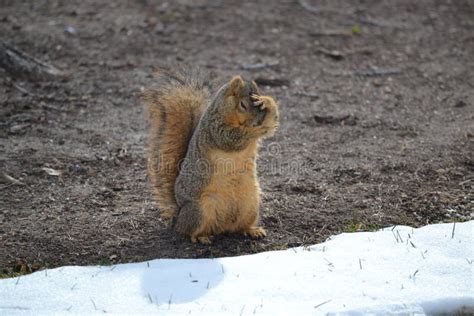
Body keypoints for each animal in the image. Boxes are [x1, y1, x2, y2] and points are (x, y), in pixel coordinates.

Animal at [143, 69, 280, 244]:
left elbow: (271, 123)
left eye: (261, 109)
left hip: (251, 205)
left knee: (240, 227)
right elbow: (230, 138)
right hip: (200, 210)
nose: (257, 122)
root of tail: (178, 217)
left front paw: (266, 102)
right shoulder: (214, 128)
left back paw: (252, 230)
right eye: (242, 105)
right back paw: (202, 237)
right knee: (189, 231)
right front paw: (255, 130)